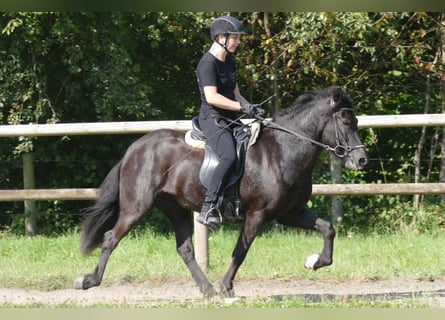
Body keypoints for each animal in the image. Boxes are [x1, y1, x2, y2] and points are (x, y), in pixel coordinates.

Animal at [74, 87, 368, 298]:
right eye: (345, 121)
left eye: (355, 120)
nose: (361, 160)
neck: (284, 150)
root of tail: (135, 148)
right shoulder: (257, 214)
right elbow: (241, 251)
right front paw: (227, 286)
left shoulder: (290, 213)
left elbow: (328, 229)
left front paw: (314, 262)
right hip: (137, 207)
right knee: (111, 238)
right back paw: (88, 280)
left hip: (175, 208)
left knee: (185, 249)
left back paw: (206, 289)